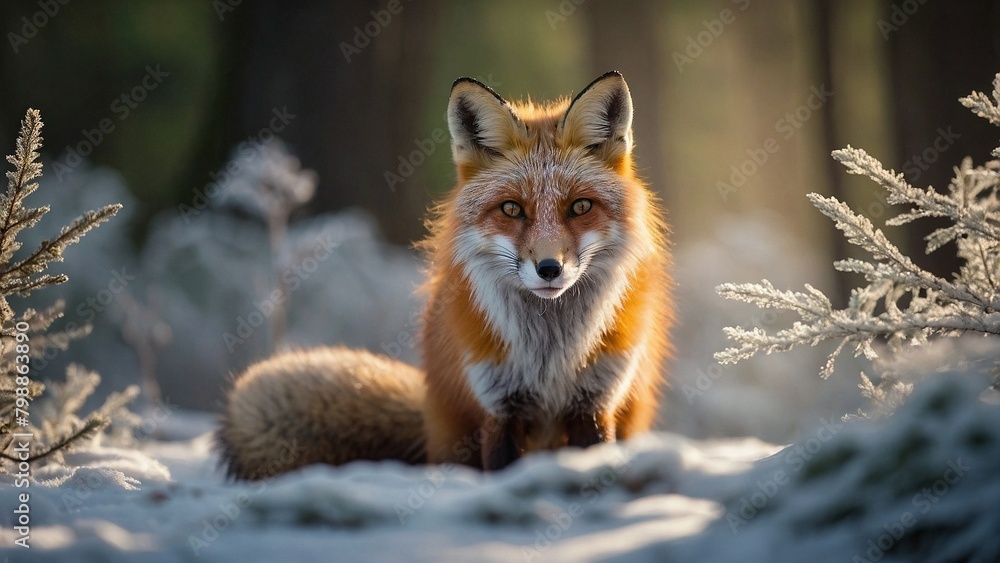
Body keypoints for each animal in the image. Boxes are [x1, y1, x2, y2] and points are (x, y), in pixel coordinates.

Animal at [217, 71, 673, 479]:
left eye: (580, 207)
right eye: (511, 209)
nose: (549, 269)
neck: (549, 356)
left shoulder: (596, 403)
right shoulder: (497, 406)